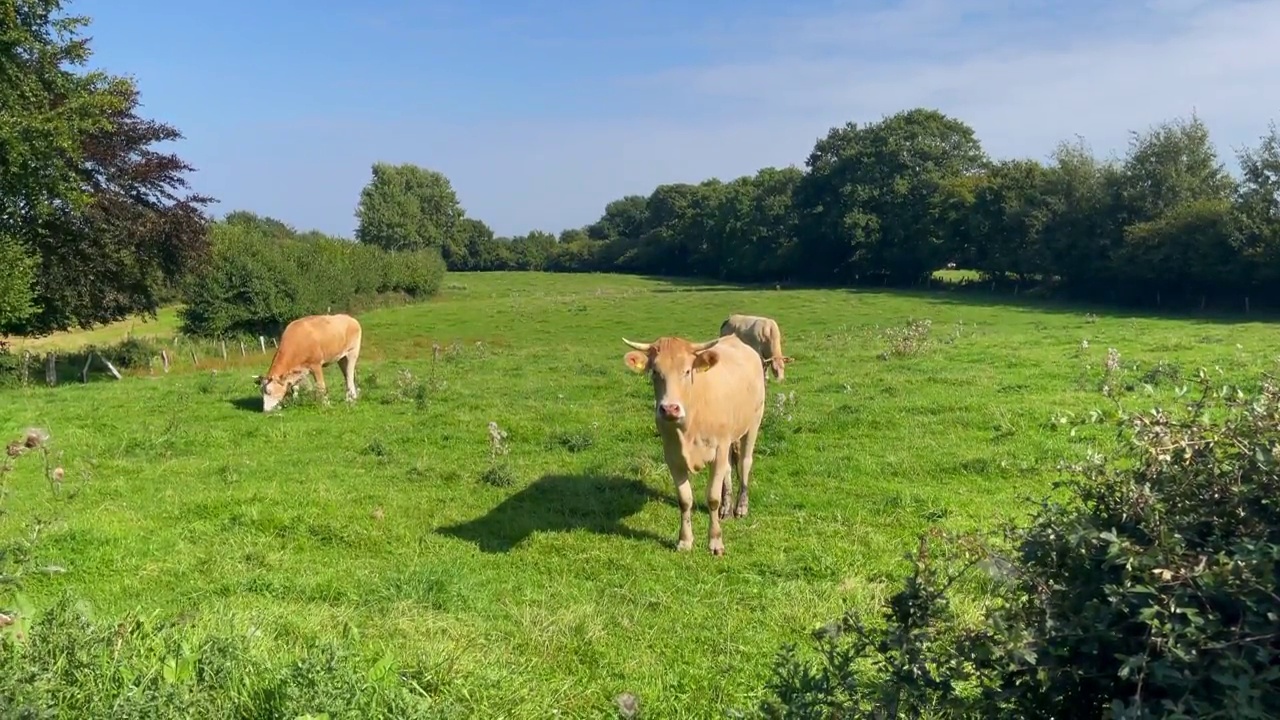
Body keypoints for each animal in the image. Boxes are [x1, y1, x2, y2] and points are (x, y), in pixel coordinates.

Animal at [622, 333, 762, 556]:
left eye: (687, 371)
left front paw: (715, 542)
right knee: (729, 469)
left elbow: (712, 497)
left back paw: (741, 507)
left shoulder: (718, 450)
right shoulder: (672, 456)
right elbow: (685, 499)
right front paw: (685, 540)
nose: (669, 408)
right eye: (655, 372)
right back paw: (726, 509)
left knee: (745, 463)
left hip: (754, 422)